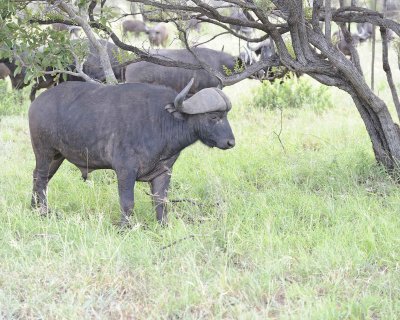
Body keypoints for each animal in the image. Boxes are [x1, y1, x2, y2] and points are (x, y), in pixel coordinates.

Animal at [29, 79, 236, 226]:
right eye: (214, 117)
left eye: (226, 115)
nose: (230, 142)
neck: (161, 121)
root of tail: (37, 103)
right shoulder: (125, 171)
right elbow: (127, 202)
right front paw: (124, 228)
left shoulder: (163, 172)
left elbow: (161, 202)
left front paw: (163, 226)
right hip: (44, 151)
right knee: (40, 178)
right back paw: (43, 212)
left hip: (57, 156)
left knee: (41, 178)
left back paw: (34, 208)